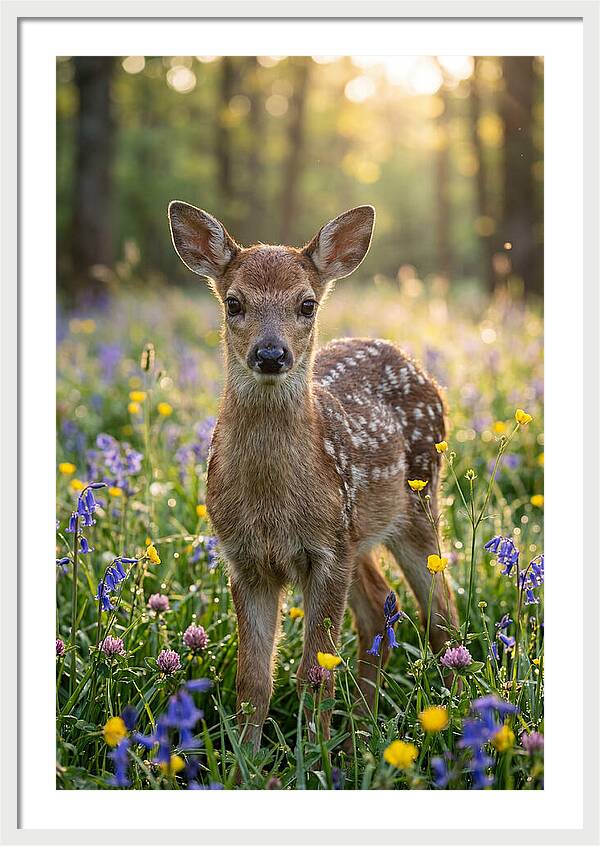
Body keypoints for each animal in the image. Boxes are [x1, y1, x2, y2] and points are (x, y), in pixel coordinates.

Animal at [168, 201, 457, 751]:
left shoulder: (325, 552)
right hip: (358, 533)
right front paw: (246, 759)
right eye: (233, 303)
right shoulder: (245, 559)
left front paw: (313, 756)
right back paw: (361, 732)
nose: (271, 354)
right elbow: (253, 679)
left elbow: (314, 672)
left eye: (306, 304)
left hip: (416, 504)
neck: (271, 506)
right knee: (378, 608)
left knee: (442, 616)